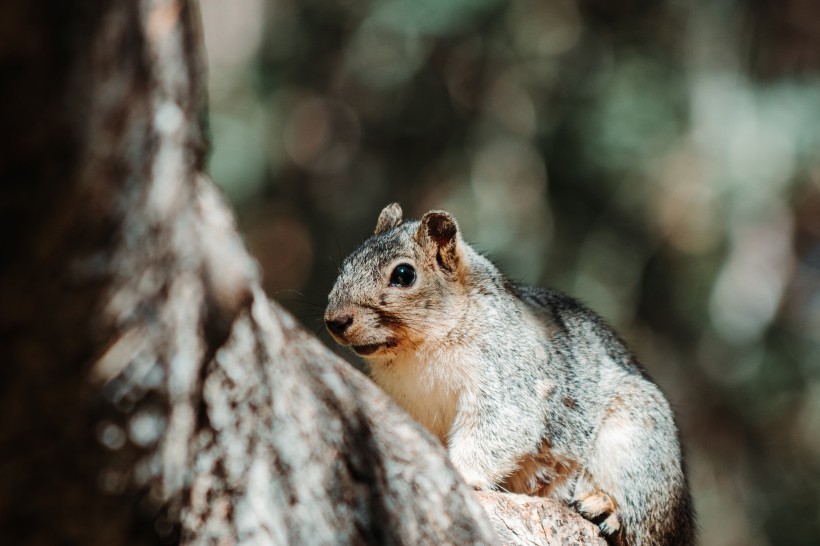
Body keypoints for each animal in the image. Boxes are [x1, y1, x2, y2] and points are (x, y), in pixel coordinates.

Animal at [324, 203, 696, 544]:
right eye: (346, 264)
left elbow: (496, 429)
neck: (416, 352)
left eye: (404, 275)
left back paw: (604, 507)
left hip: (634, 443)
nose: (335, 320)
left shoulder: (506, 379)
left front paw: (460, 472)